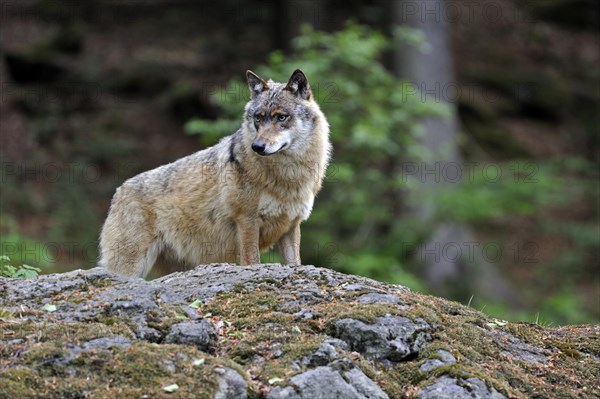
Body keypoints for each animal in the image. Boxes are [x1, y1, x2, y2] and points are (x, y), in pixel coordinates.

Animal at [99, 69, 332, 278]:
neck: (288, 175)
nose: (257, 146)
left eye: (281, 117)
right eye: (258, 118)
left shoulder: (291, 226)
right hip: (131, 266)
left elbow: (295, 263)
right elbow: (252, 262)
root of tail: (118, 191)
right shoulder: (247, 222)